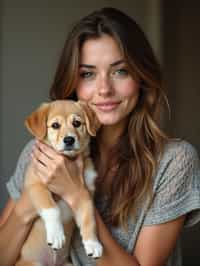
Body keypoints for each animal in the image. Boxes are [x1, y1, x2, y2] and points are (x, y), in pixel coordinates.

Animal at [15, 100, 103, 266]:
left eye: (77, 123)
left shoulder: (84, 193)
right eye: (55, 125)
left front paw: (93, 244)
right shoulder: (36, 184)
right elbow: (52, 209)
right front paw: (56, 235)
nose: (69, 140)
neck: (68, 160)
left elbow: (89, 219)